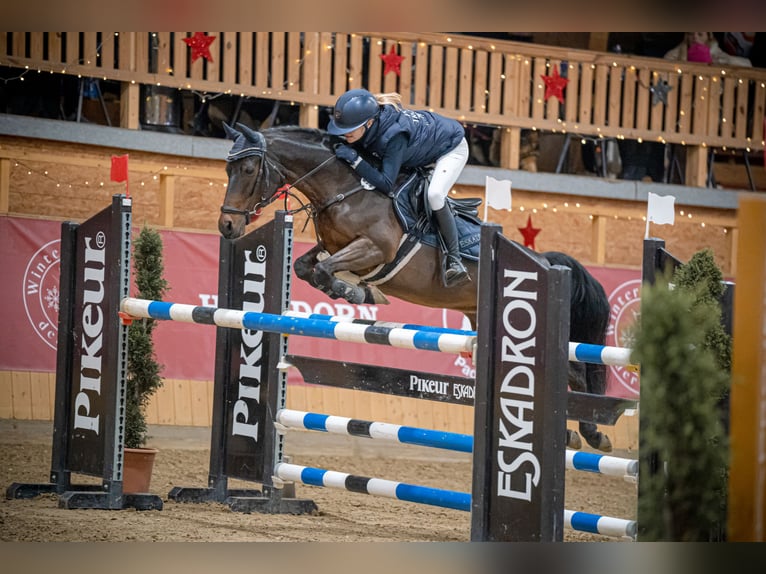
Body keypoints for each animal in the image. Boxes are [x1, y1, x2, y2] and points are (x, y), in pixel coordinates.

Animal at [219, 122, 616, 454]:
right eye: (227, 170)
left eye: (249, 170)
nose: (226, 226)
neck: (346, 189)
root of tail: (546, 262)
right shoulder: (332, 246)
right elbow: (306, 268)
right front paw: (358, 291)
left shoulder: (374, 248)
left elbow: (324, 271)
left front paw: (356, 293)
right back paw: (568, 434)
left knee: (575, 372)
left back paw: (592, 433)